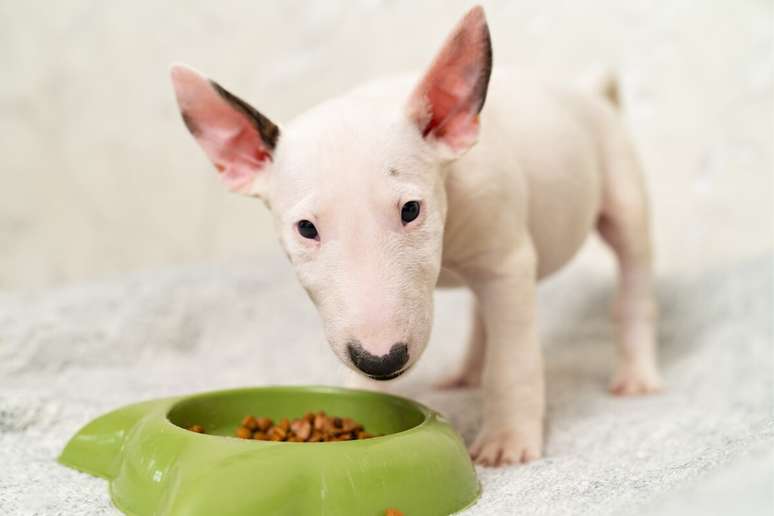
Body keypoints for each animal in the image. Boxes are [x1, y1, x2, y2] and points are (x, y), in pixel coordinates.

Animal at [173, 6, 664, 468]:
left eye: (411, 210)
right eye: (306, 229)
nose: (382, 360)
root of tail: (590, 92)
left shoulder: (507, 265)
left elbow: (512, 362)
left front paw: (507, 442)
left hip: (622, 192)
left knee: (632, 279)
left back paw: (636, 374)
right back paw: (466, 372)